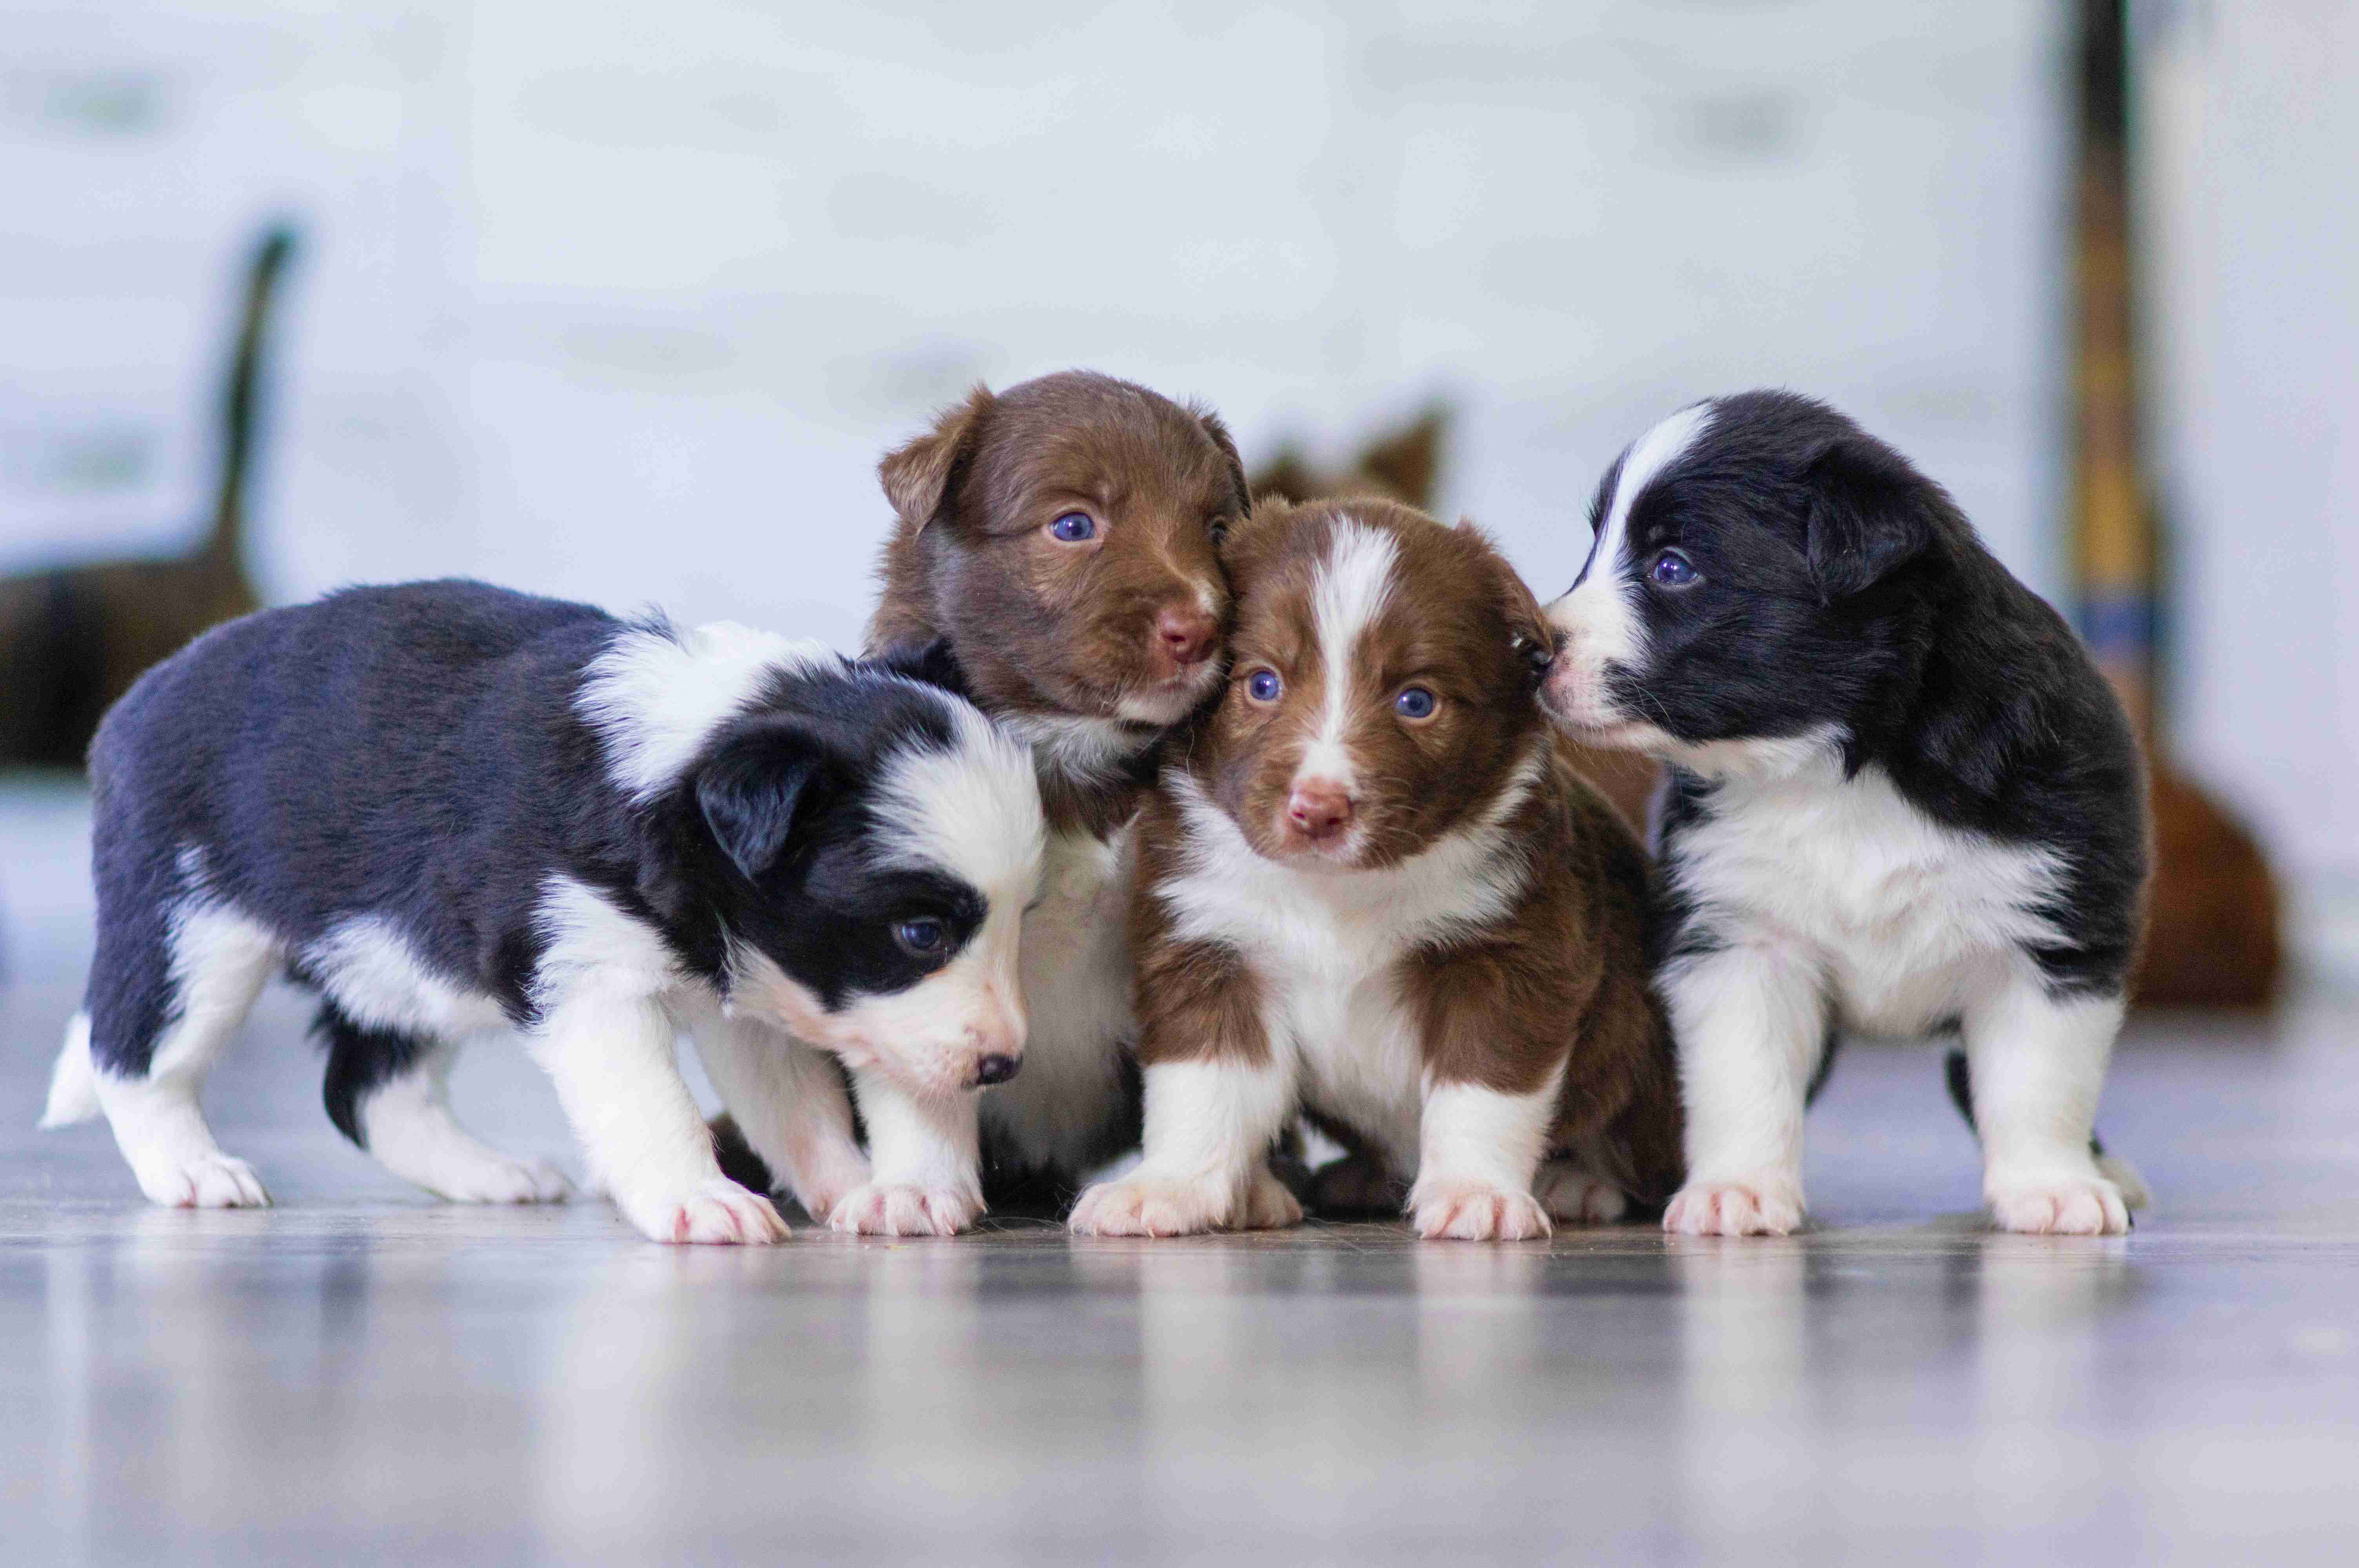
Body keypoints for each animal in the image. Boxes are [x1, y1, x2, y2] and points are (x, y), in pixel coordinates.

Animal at [39, 580, 1043, 1245]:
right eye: (920, 933)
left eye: (1021, 918)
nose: (1003, 1065)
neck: (685, 768)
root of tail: (136, 699)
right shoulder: (589, 980)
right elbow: (654, 1106)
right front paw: (701, 1200)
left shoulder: (755, 992)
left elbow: (797, 1107)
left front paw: (862, 1189)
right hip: (195, 926)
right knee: (135, 1054)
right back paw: (193, 1170)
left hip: (400, 961)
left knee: (366, 1089)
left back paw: (488, 1174)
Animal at [707, 370, 1255, 1226]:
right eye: (1073, 524)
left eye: (1219, 527)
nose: (1197, 628)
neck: (1072, 755)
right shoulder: (892, 947)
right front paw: (916, 1187)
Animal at [1061, 497, 1689, 1235]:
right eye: (1262, 684)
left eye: (1416, 701)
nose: (1318, 810)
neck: (1338, 891)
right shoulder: (1210, 947)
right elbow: (1201, 1084)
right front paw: (1165, 1187)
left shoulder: (1509, 953)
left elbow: (1481, 1089)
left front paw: (1475, 1193)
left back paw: (1577, 1184)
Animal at [1538, 391, 2151, 1235]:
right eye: (1593, 547)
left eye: (1672, 567)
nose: (1532, 648)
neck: (1834, 767)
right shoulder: (1738, 937)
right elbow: (1741, 1077)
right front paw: (1737, 1188)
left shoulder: (2051, 933)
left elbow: (2036, 1080)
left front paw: (2050, 1187)